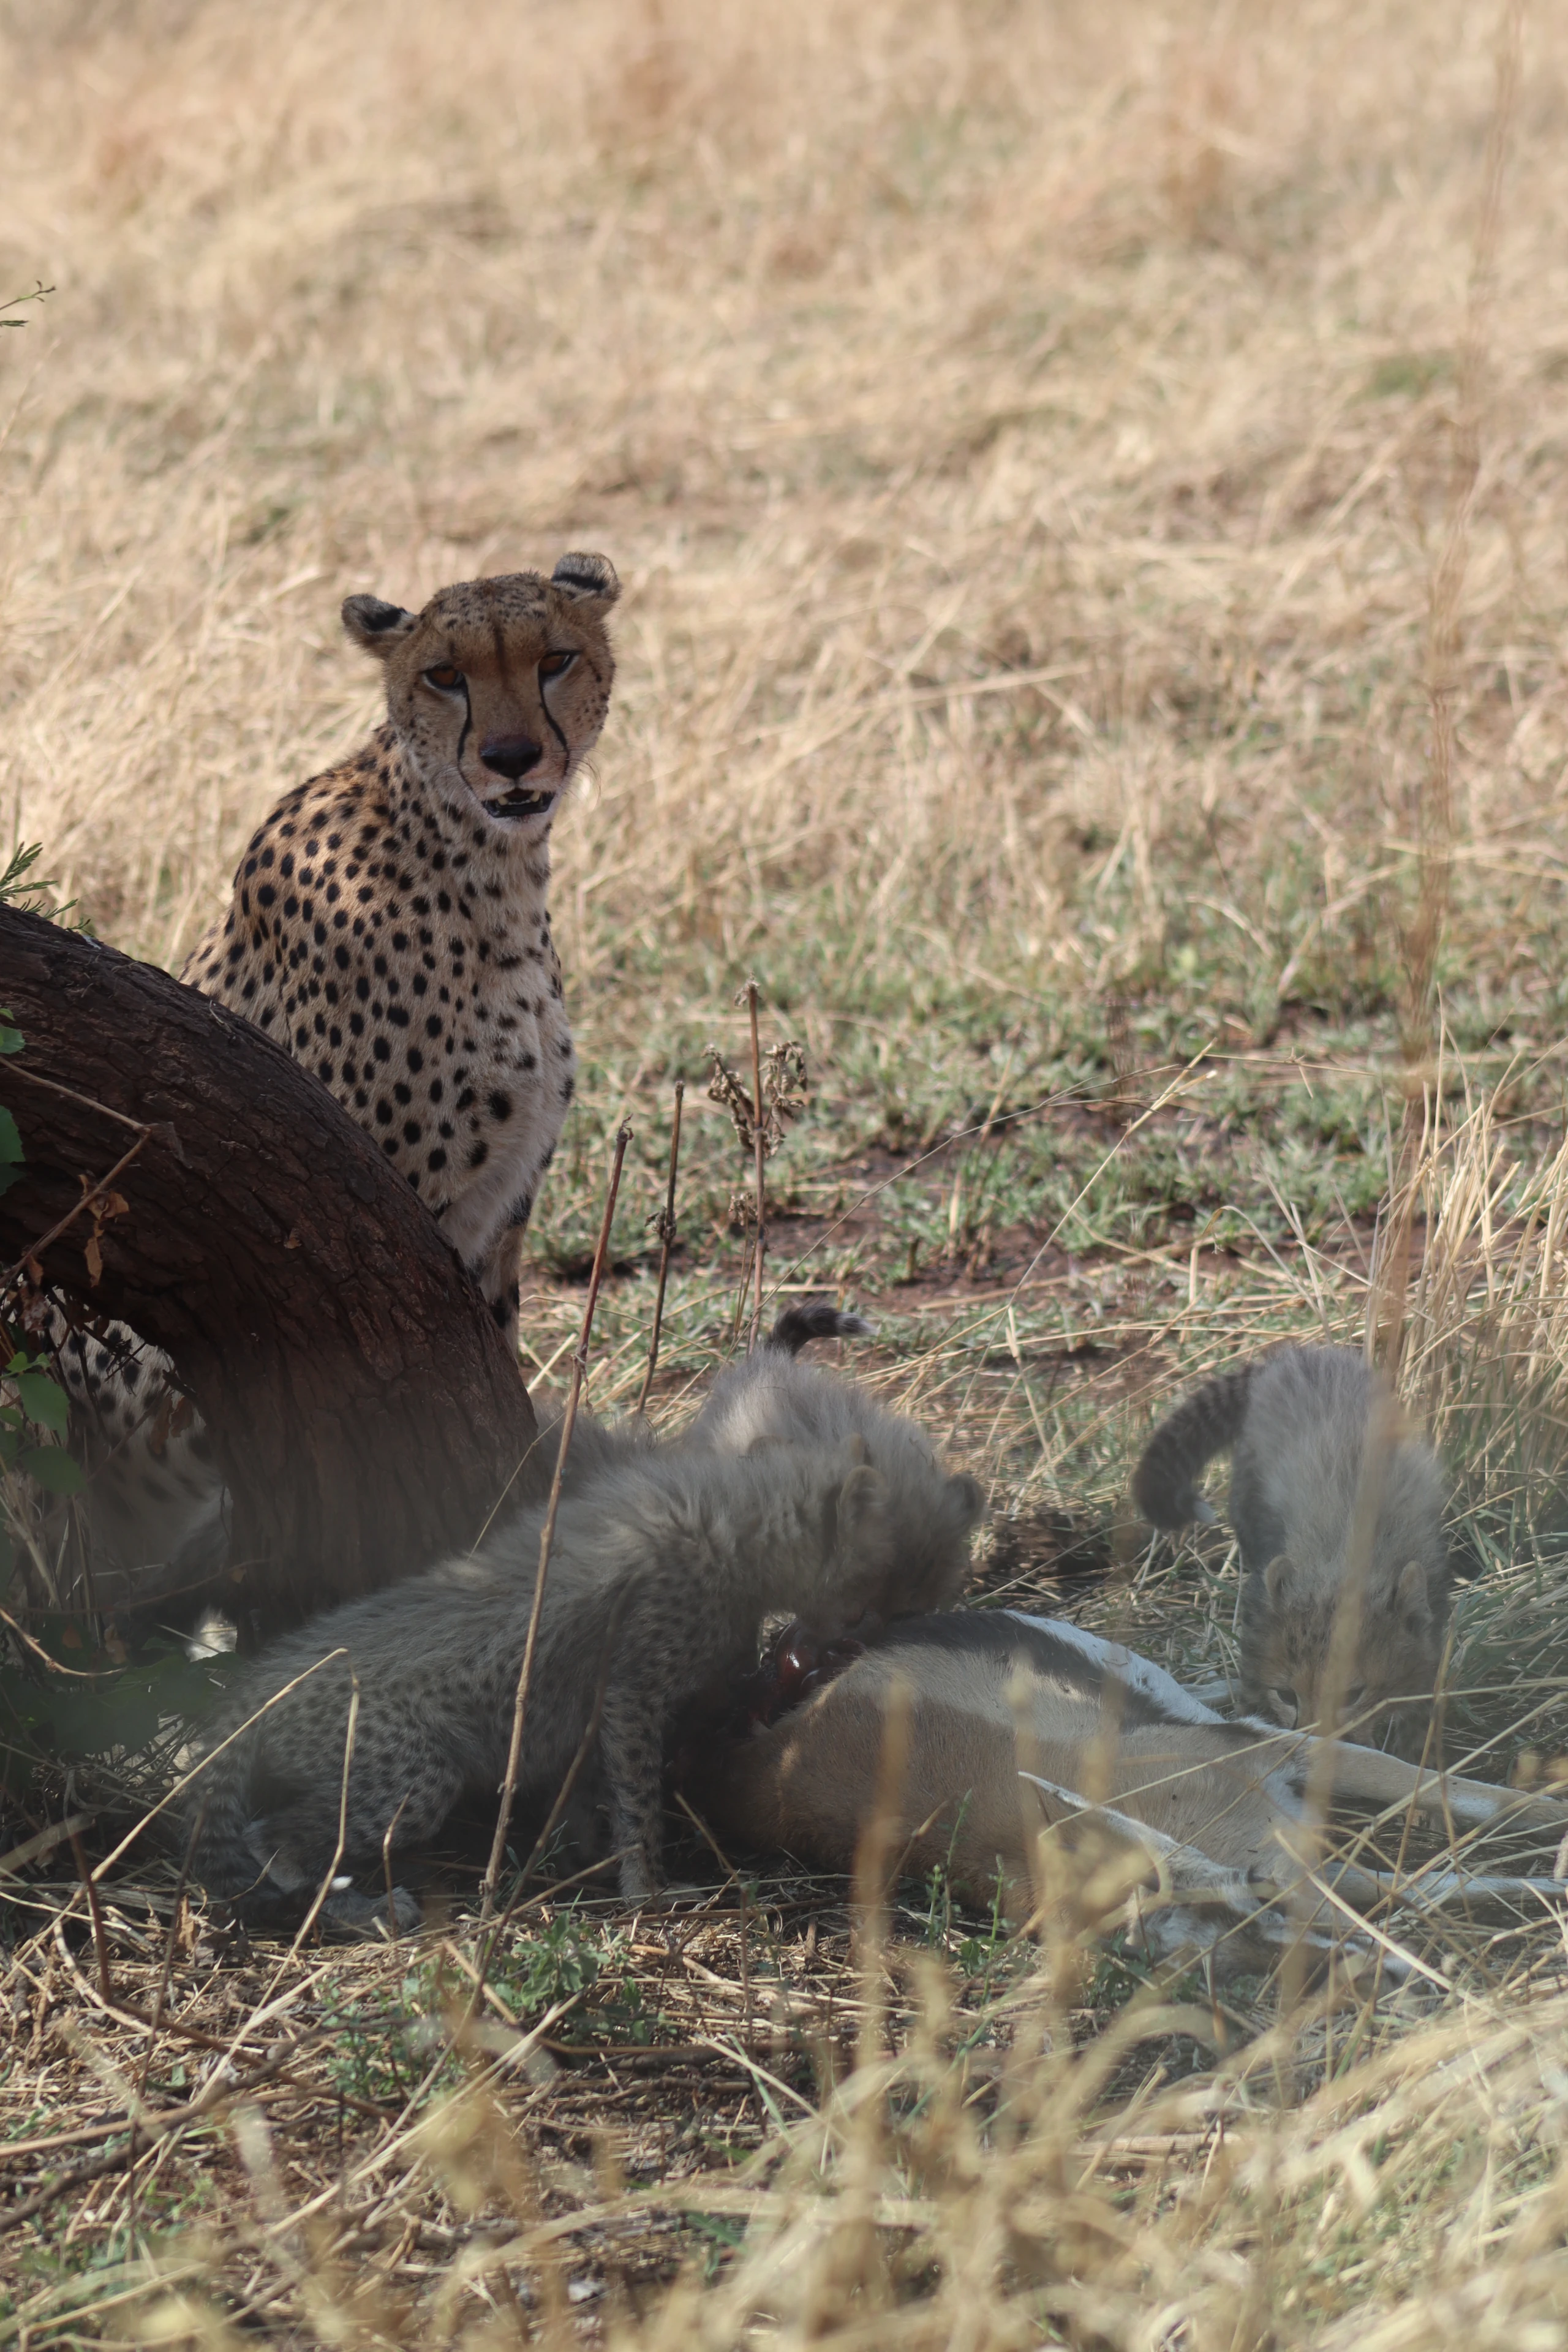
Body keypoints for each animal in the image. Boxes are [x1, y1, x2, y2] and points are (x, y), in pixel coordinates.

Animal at [55, 554, 621, 1609]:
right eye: (445, 676)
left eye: (556, 659)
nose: (514, 757)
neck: (489, 870)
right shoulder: (381, 1229)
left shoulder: (499, 1217)